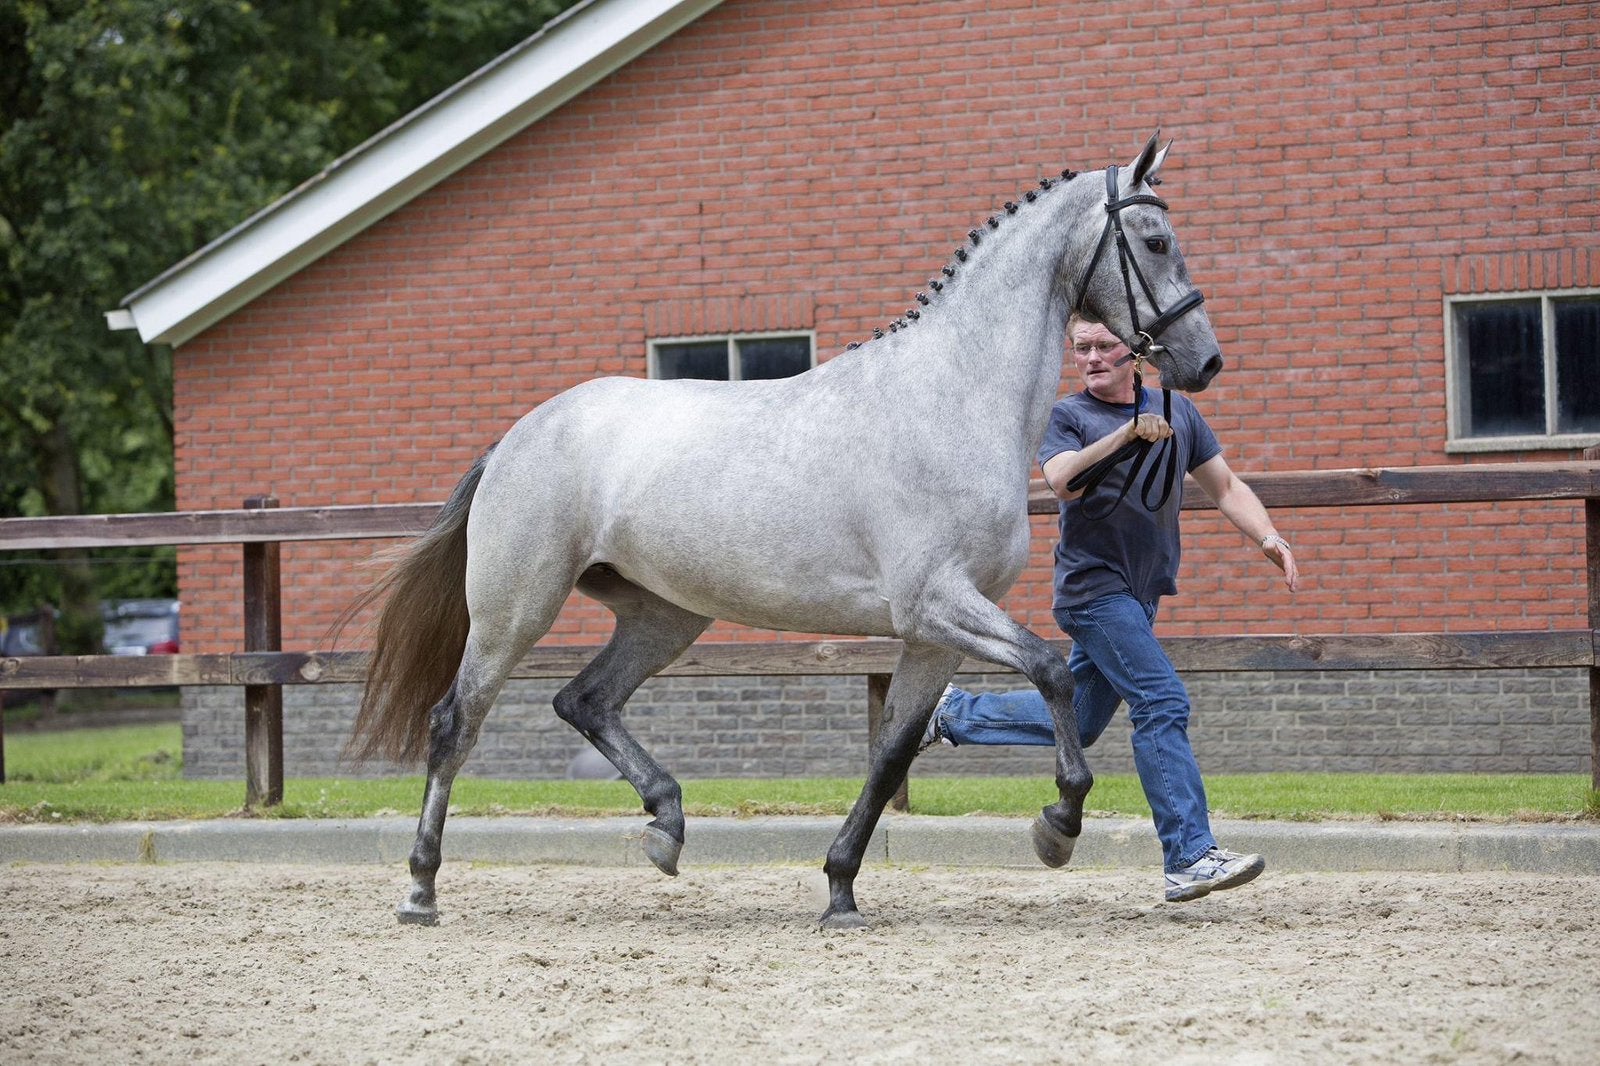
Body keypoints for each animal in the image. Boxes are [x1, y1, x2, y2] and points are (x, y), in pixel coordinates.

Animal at [346, 132, 1223, 928]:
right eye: (1154, 241)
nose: (1204, 361)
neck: (953, 396)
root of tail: (515, 438)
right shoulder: (935, 603)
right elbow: (1048, 669)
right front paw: (1059, 825)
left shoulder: (933, 634)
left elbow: (892, 752)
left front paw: (840, 889)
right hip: (515, 610)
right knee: (456, 723)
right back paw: (421, 890)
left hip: (665, 616)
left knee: (584, 700)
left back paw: (666, 827)